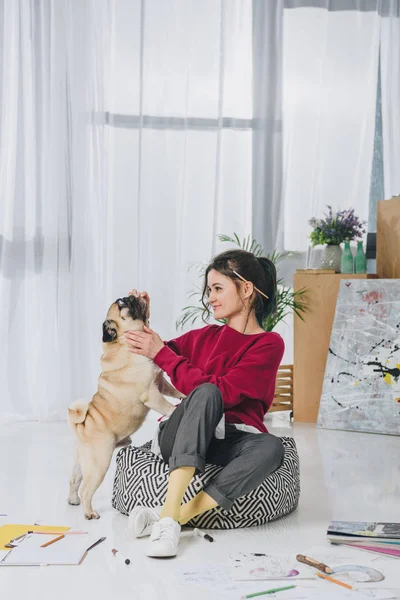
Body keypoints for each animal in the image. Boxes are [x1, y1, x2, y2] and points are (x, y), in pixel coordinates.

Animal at [67, 296, 183, 520]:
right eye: (123, 305)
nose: (133, 297)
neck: (123, 342)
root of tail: (82, 425)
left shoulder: (161, 383)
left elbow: (174, 392)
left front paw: (184, 397)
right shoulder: (152, 395)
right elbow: (167, 406)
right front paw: (175, 411)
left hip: (80, 460)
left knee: (74, 479)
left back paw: (73, 500)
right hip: (99, 462)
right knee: (86, 489)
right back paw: (89, 512)